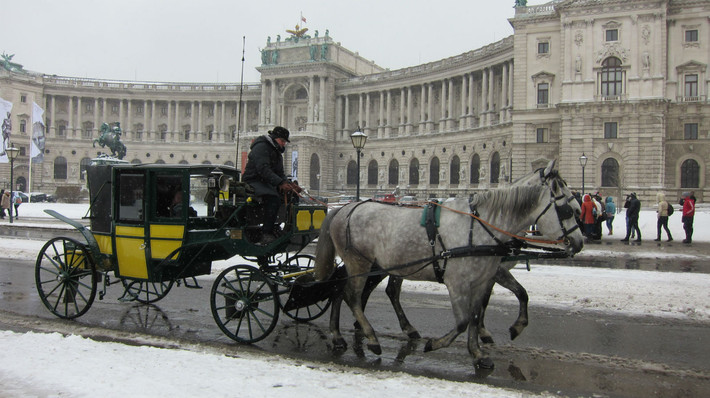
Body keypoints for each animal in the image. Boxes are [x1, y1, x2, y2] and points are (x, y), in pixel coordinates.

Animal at [318, 163, 584, 368]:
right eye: (568, 209)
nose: (579, 243)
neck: (482, 227)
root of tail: (344, 208)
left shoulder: (483, 280)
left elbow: (480, 313)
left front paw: (479, 352)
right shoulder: (458, 282)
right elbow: (464, 320)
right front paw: (435, 343)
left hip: (374, 264)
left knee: (343, 291)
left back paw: (341, 335)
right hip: (359, 262)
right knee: (352, 295)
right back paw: (371, 338)